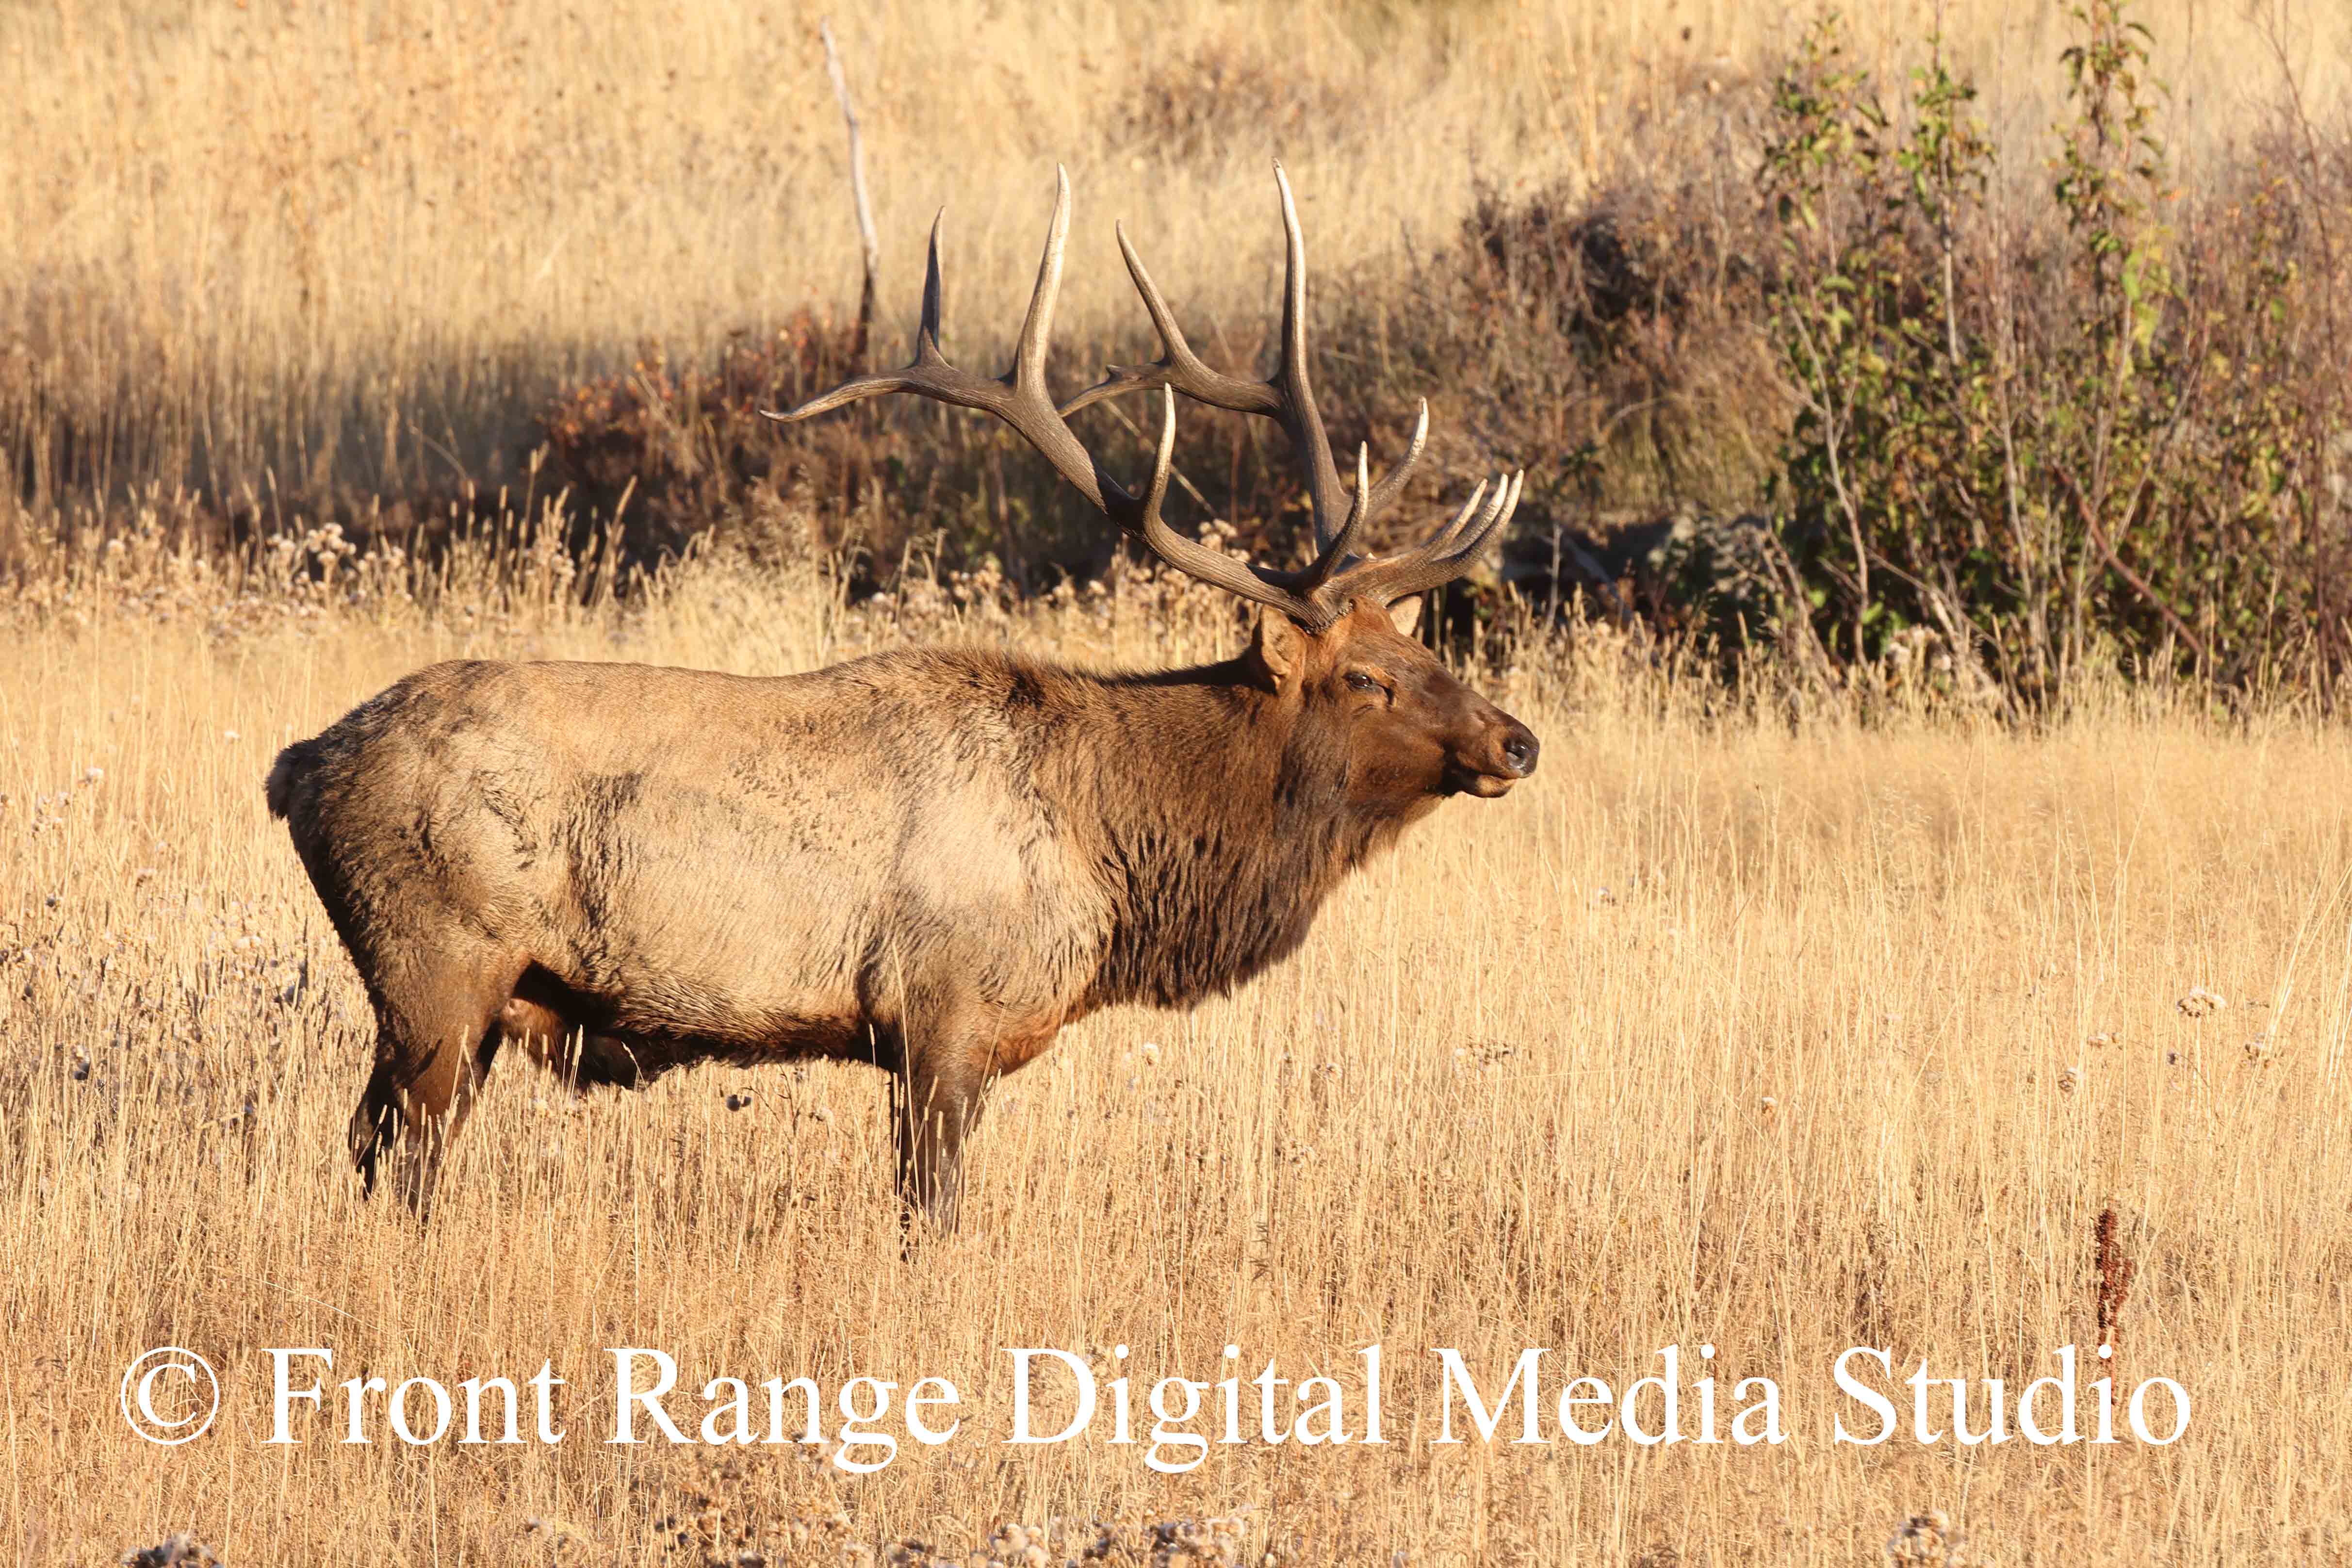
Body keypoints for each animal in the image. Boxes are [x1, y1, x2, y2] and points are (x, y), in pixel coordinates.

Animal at [266, 165, 1539, 1230]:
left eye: (1417, 640)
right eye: (1367, 676)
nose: (1516, 740)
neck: (1116, 846)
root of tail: (300, 767)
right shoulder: (940, 1011)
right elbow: (932, 1213)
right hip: (436, 959)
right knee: (396, 1155)